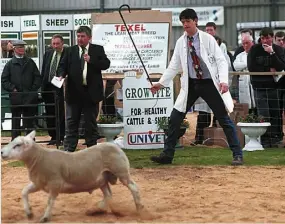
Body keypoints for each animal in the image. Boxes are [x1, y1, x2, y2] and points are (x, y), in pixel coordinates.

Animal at [1, 130, 144, 223]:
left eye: (17, 145)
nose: (2, 152)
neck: (39, 158)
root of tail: (115, 146)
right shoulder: (39, 183)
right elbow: (24, 192)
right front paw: (29, 213)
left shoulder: (55, 184)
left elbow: (49, 202)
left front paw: (45, 218)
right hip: (102, 178)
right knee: (108, 194)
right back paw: (97, 209)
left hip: (121, 171)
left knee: (134, 188)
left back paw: (139, 208)